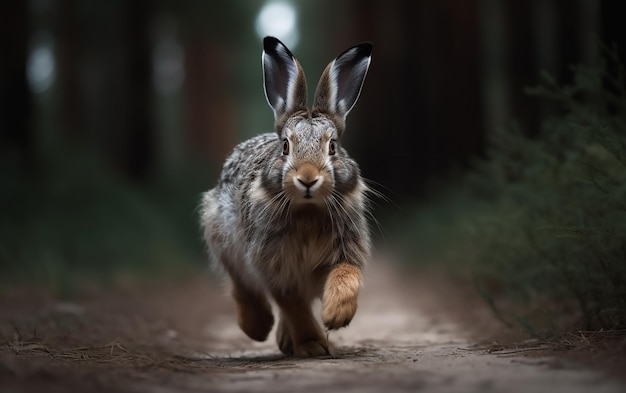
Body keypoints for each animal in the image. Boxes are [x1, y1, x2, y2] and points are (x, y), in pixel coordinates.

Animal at [200, 36, 370, 358]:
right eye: (285, 146)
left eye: (333, 146)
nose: (308, 178)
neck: (308, 210)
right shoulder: (274, 265)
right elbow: (292, 304)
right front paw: (313, 344)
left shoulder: (345, 249)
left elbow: (346, 275)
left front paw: (335, 315)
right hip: (222, 234)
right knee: (241, 284)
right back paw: (258, 328)